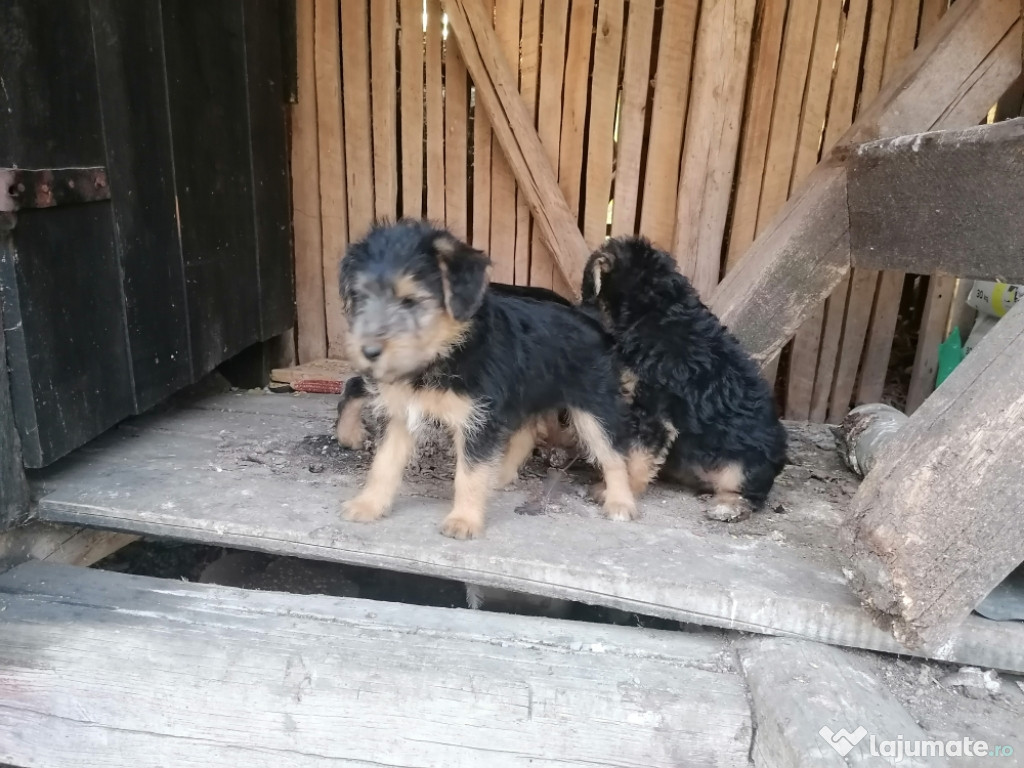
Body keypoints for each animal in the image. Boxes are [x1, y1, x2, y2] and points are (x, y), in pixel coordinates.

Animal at [339, 219, 634, 536]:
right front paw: (368, 505)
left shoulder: (477, 421)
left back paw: (621, 502)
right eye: (361, 297)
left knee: (613, 454)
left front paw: (464, 520)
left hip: (594, 408)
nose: (368, 351)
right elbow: (383, 465)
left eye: (410, 301)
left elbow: (470, 473)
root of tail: (588, 315)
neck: (441, 355)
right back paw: (498, 477)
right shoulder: (399, 415)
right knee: (526, 436)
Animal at [581, 234, 786, 524]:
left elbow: (635, 457)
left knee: (748, 491)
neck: (654, 310)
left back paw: (728, 506)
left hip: (744, 464)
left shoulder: (653, 413)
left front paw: (618, 494)